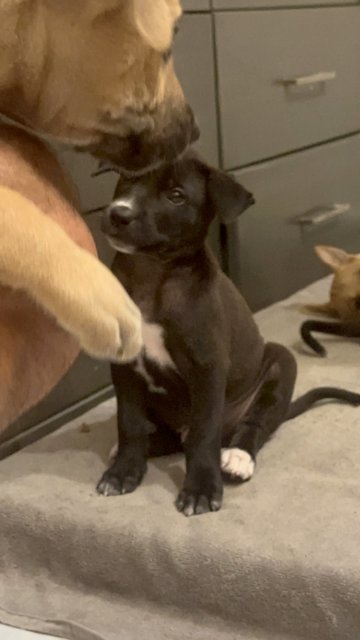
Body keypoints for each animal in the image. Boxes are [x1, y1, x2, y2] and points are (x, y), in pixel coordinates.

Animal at [97, 152, 360, 516]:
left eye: (176, 196)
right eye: (128, 179)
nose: (119, 213)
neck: (152, 277)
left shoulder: (207, 367)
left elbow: (204, 434)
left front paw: (201, 489)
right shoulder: (124, 365)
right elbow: (130, 422)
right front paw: (124, 471)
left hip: (280, 362)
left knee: (251, 425)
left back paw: (238, 456)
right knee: (171, 436)